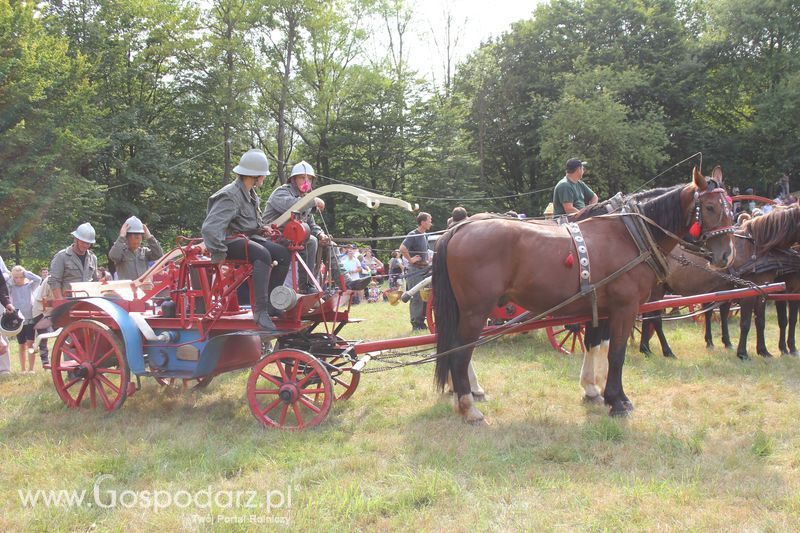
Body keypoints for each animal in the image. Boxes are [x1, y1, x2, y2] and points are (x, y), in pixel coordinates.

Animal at [434, 167, 736, 420]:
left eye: (730, 208)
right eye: (709, 207)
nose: (726, 255)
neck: (629, 235)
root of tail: (457, 229)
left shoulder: (601, 308)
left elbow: (595, 345)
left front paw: (594, 391)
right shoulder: (625, 308)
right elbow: (616, 354)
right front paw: (618, 401)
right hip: (475, 311)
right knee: (460, 353)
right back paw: (469, 407)